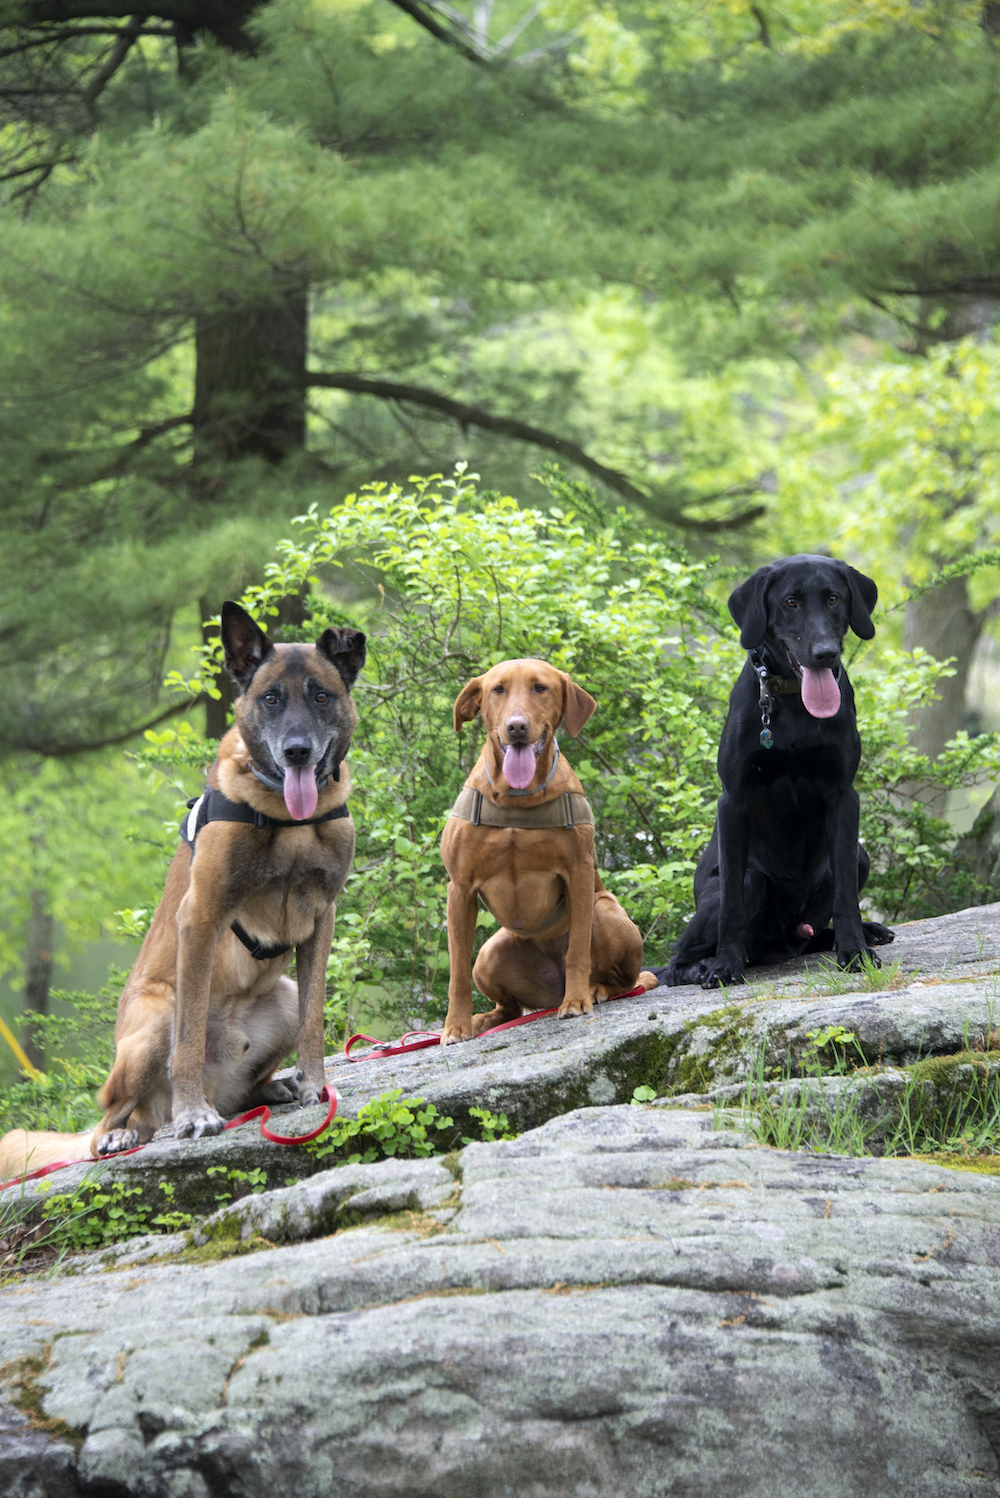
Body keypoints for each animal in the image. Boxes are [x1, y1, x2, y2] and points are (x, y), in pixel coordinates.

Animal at [0, 599, 365, 1180]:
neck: (287, 820)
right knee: (115, 1119)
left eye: (321, 696)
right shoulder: (201, 918)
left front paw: (314, 1086)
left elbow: (315, 1019)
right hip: (153, 1022)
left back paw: (272, 1089)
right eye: (270, 698)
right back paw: (127, 1133)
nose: (297, 752)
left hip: (281, 996)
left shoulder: (321, 919)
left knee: (246, 1089)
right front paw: (194, 1116)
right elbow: (189, 1039)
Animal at [440, 662, 658, 1048]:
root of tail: (552, 990)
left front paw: (577, 1001)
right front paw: (456, 1026)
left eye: (540, 688)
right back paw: (486, 1018)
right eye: (497, 689)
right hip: (490, 955)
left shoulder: (579, 873)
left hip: (605, 912)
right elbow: (457, 972)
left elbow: (578, 951)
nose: (516, 727)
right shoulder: (460, 888)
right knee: (510, 1008)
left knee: (626, 981)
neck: (517, 798)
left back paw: (596, 989)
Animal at [655, 557, 892, 988]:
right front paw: (725, 966)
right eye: (791, 602)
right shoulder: (733, 800)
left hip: (859, 859)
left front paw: (854, 952)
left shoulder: (843, 795)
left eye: (834, 599)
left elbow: (847, 895)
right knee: (680, 955)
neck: (795, 703)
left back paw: (863, 933)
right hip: (751, 883)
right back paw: (703, 965)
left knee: (816, 926)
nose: (825, 654)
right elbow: (732, 904)